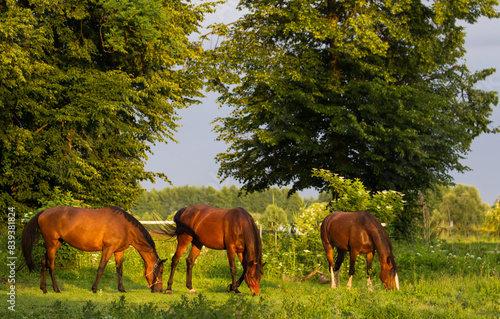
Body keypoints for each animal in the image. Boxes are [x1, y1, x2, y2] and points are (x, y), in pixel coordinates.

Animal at [21, 206, 166, 294]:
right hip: (51, 244)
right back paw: (56, 289)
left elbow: (119, 270)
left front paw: (121, 289)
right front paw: (94, 288)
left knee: (43, 262)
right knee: (50, 265)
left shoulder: (119, 251)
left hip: (55, 244)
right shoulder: (108, 249)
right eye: (161, 271)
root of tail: (43, 212)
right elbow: (101, 268)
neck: (125, 226)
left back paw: (44, 288)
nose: (159, 290)